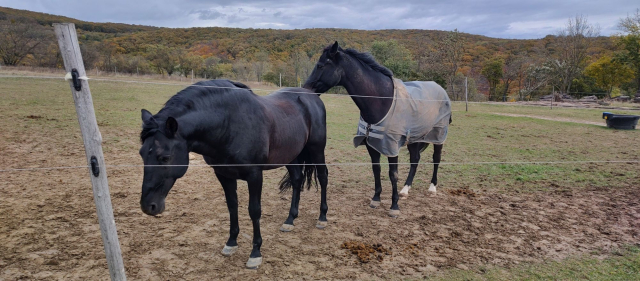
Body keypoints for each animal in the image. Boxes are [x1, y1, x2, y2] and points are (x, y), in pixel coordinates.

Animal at [140, 79, 330, 266]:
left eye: (165, 157)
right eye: (141, 154)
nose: (148, 206)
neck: (229, 123)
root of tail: (311, 95)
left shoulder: (254, 175)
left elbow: (254, 210)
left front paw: (255, 252)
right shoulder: (224, 175)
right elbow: (232, 206)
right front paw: (231, 243)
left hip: (316, 149)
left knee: (323, 177)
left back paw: (322, 218)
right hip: (290, 155)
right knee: (297, 179)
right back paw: (290, 220)